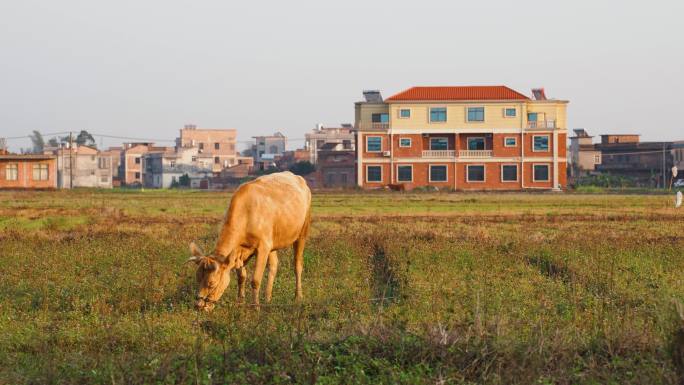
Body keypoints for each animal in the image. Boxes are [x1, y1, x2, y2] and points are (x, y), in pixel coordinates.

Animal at [186, 171, 312, 308]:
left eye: (212, 283)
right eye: (197, 279)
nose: (198, 306)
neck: (246, 214)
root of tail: (297, 177)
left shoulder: (263, 248)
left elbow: (255, 280)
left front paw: (255, 306)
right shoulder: (238, 251)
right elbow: (241, 277)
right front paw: (240, 302)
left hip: (302, 232)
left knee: (297, 265)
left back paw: (298, 296)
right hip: (273, 242)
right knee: (273, 266)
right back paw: (267, 298)